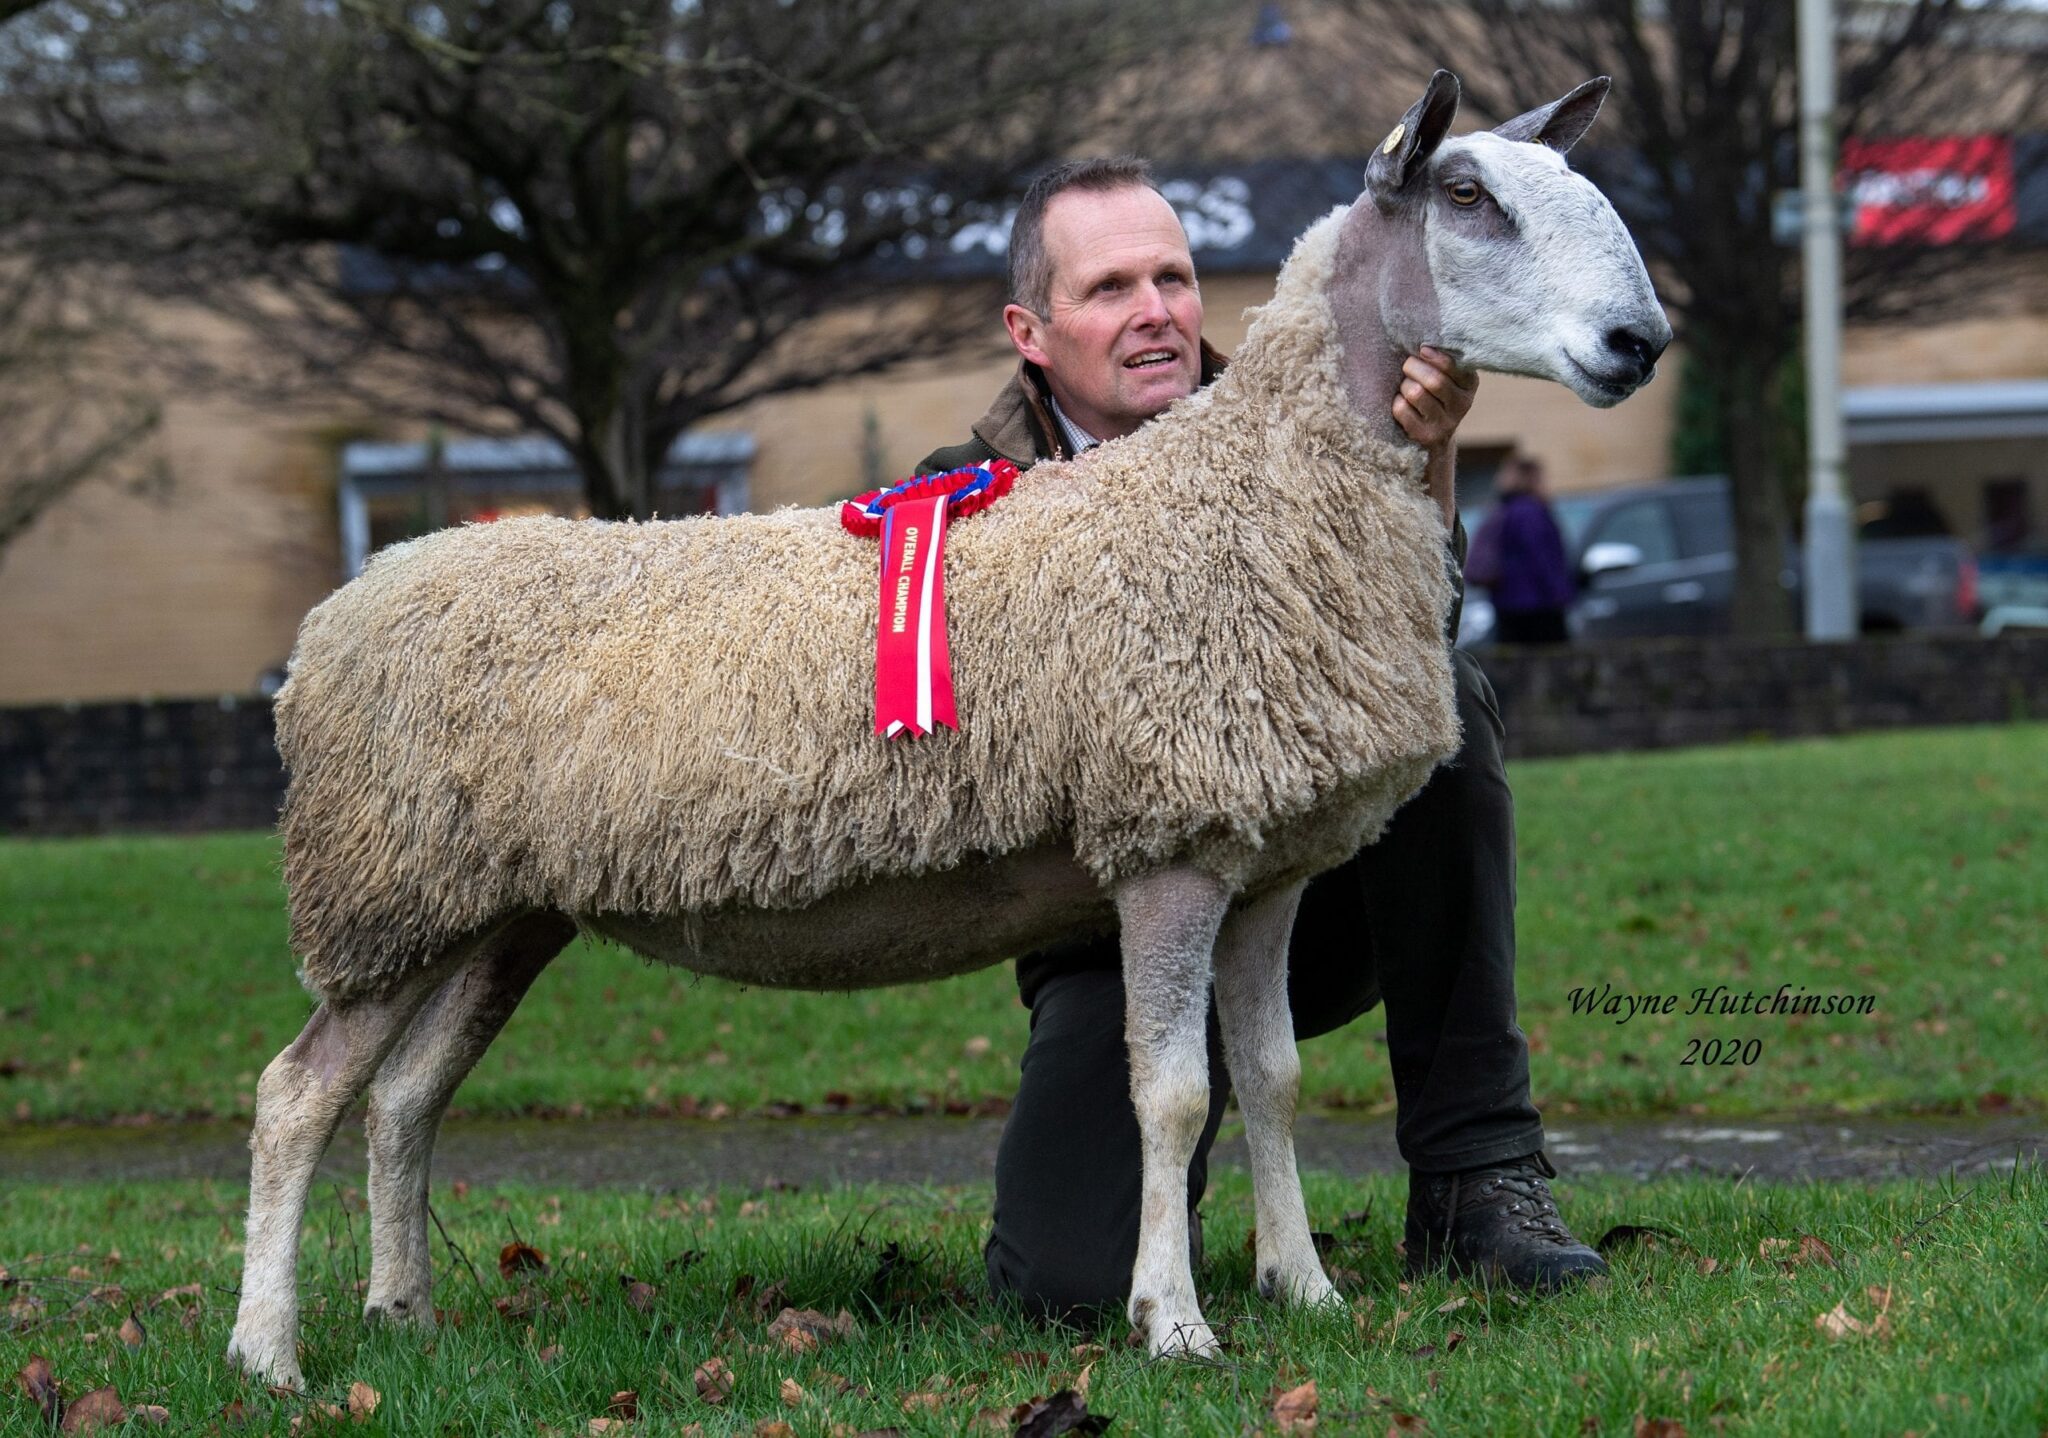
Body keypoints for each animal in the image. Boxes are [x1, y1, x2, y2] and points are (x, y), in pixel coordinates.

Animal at [228, 70, 1662, 1392]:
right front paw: (1174, 1320)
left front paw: (1303, 1288)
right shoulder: (1168, 841)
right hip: (387, 886)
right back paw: (268, 1353)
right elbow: (1173, 1091)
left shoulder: (1268, 861)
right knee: (297, 1093)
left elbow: (1272, 1077)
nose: (1638, 339)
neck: (1252, 489)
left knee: (402, 1095)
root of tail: (338, 614)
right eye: (1466, 196)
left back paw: (402, 1314)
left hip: (493, 907)